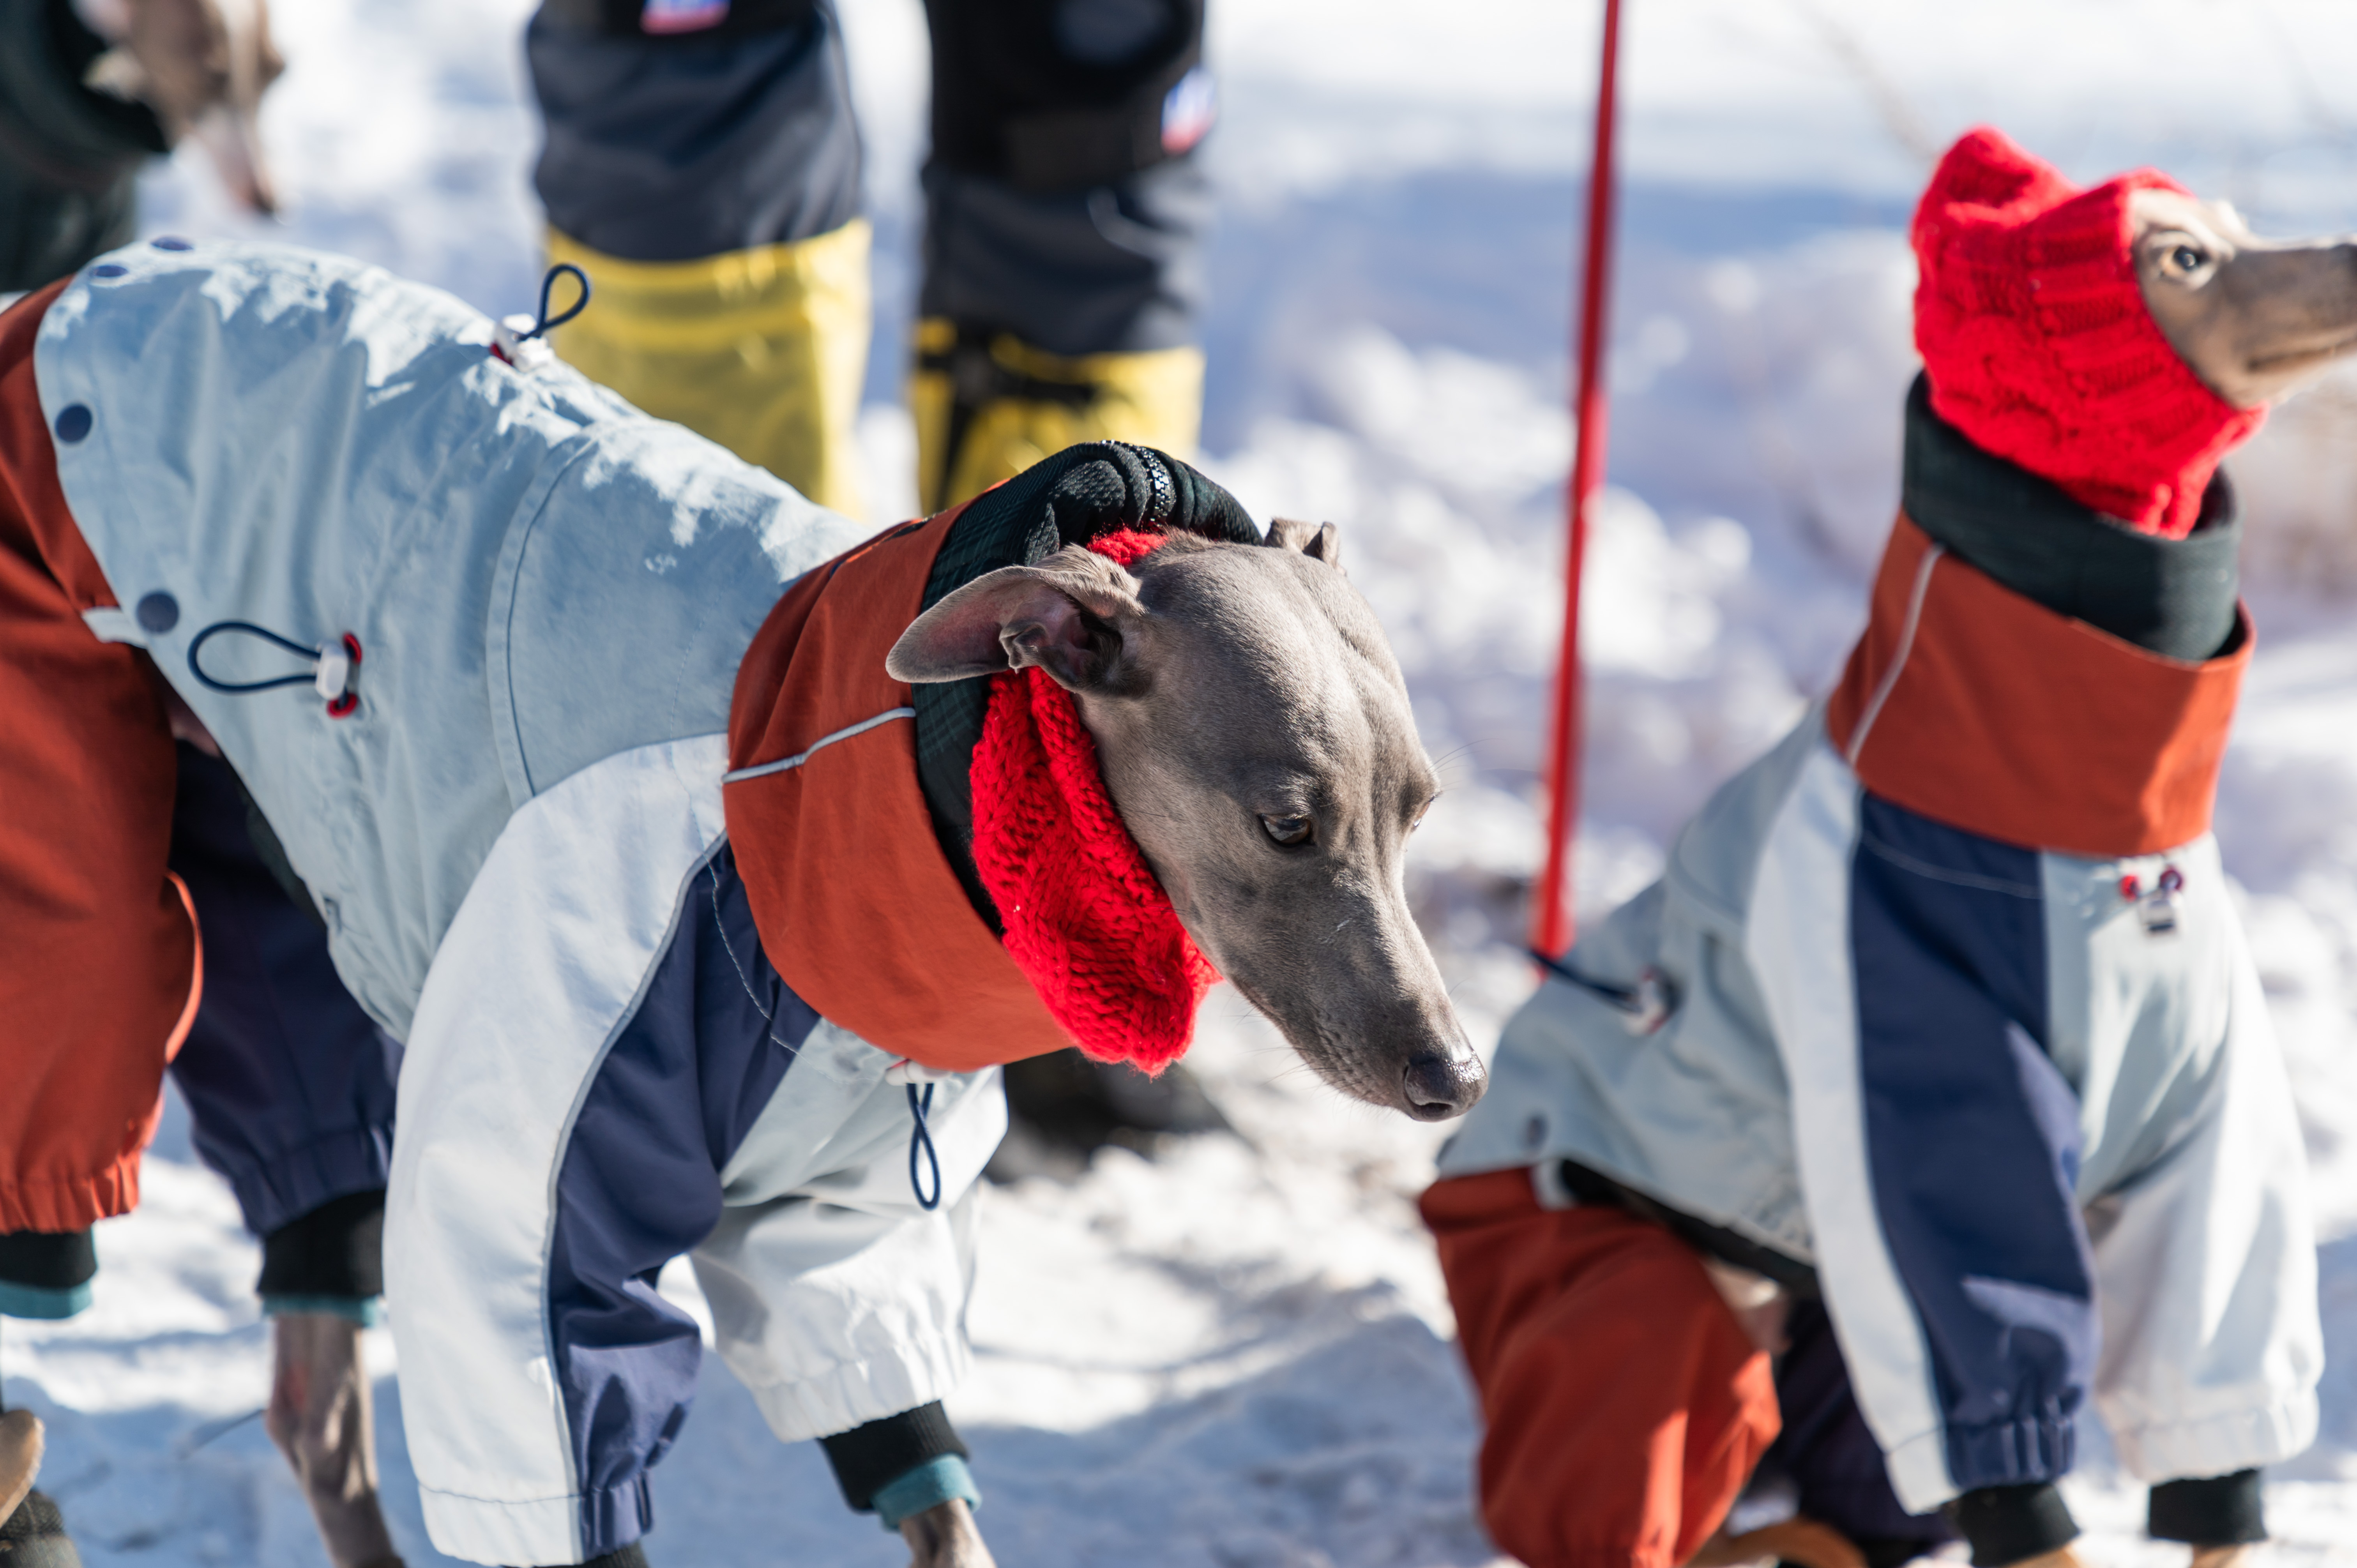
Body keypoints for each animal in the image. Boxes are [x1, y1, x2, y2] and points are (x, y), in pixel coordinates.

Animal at [1423, 125, 2357, 1568]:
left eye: (2240, 225)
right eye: (2182, 259)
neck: (2091, 830)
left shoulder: (2205, 1126)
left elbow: (2211, 1376)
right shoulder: (1930, 1108)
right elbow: (2001, 1396)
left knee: (1837, 1494)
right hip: (1627, 1291)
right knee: (1645, 1433)